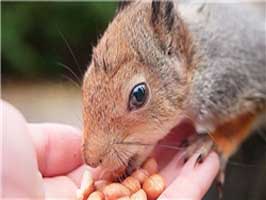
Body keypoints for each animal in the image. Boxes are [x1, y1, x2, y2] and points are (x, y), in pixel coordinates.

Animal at [82, 0, 264, 193]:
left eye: (139, 94)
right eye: (86, 78)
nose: (91, 160)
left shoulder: (239, 82)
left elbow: (239, 123)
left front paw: (211, 142)